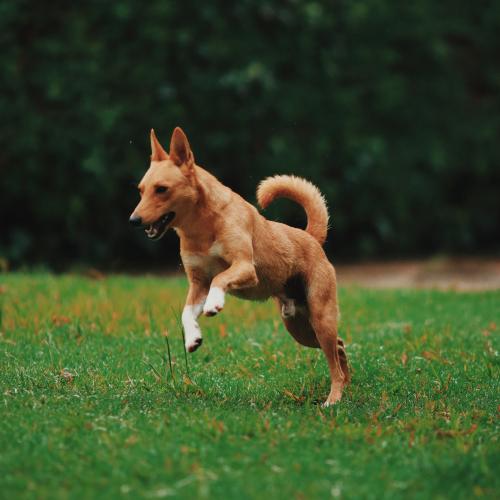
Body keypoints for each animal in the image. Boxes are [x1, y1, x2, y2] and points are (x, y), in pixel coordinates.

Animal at [131, 127, 350, 404]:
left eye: (161, 189)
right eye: (141, 190)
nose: (133, 220)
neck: (202, 228)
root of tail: (310, 237)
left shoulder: (245, 267)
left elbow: (220, 279)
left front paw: (214, 303)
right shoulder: (197, 283)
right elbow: (186, 312)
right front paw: (193, 338)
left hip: (321, 317)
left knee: (334, 359)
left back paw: (333, 399)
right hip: (299, 327)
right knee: (339, 348)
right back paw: (346, 387)